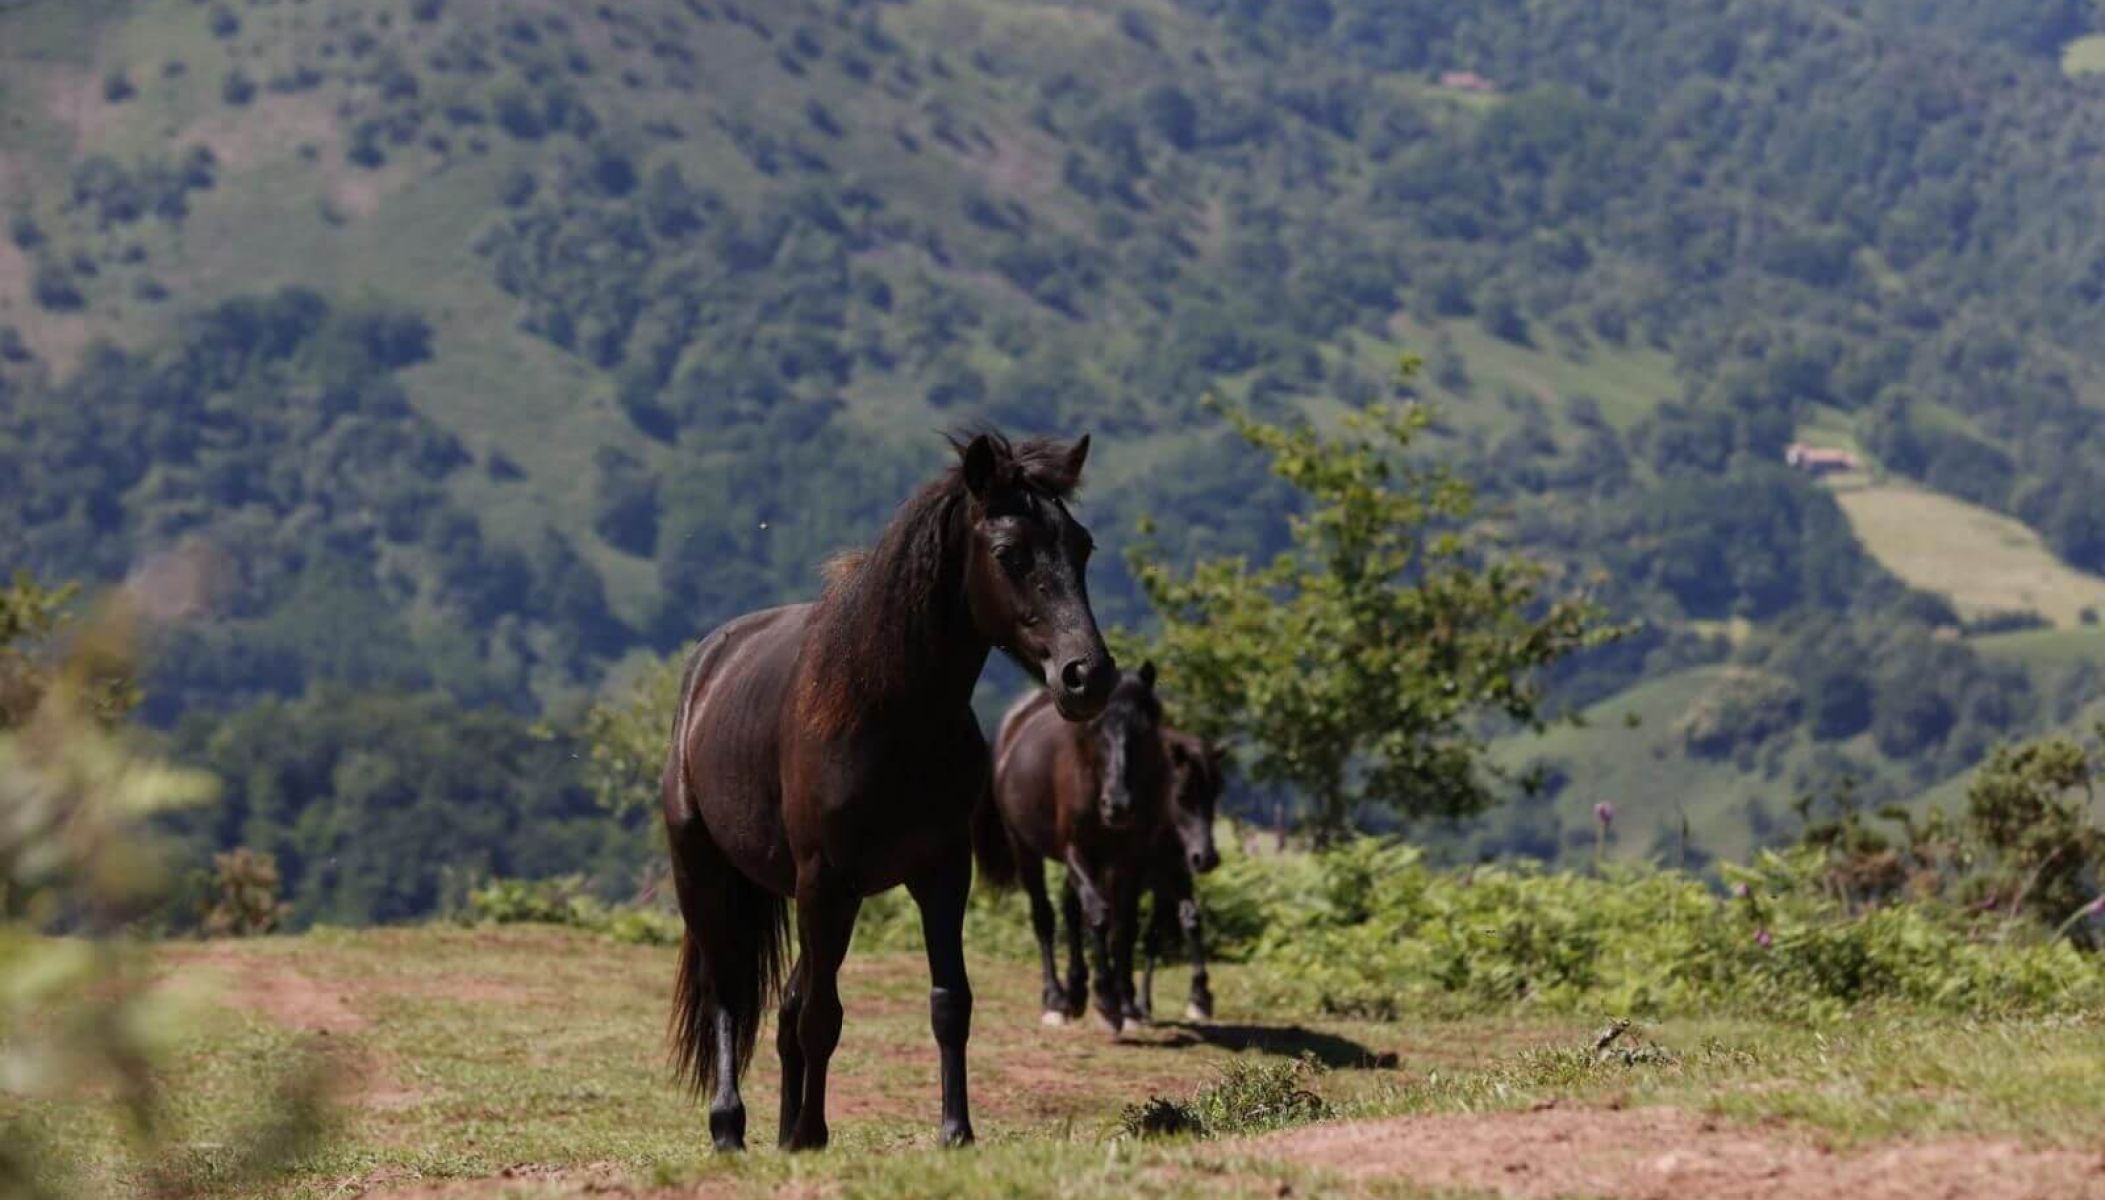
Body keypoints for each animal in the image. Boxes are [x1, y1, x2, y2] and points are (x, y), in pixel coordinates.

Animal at [661, 431, 1115, 1152]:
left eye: (1082, 545)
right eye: (1007, 554)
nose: (1087, 676)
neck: (887, 716)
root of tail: (710, 664)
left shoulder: (941, 874)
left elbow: (948, 1002)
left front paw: (955, 1131)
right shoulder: (824, 882)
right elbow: (822, 1016)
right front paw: (812, 1134)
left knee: (785, 1004)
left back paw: (782, 1129)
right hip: (709, 875)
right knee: (731, 992)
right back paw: (730, 1127)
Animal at [974, 663, 1169, 1033]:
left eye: (1144, 729)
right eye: (1095, 727)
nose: (1118, 806)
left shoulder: (1131, 859)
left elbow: (1124, 926)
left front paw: (1128, 1005)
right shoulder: (1077, 850)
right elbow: (1099, 915)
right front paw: (1107, 1001)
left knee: (1070, 909)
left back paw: (1075, 991)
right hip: (1025, 849)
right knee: (1045, 917)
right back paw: (1055, 999)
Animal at [1130, 730, 1226, 1024]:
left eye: (1216, 793)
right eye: (1182, 795)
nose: (1206, 858)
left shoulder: (1172, 881)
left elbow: (1181, 925)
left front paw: (1199, 998)